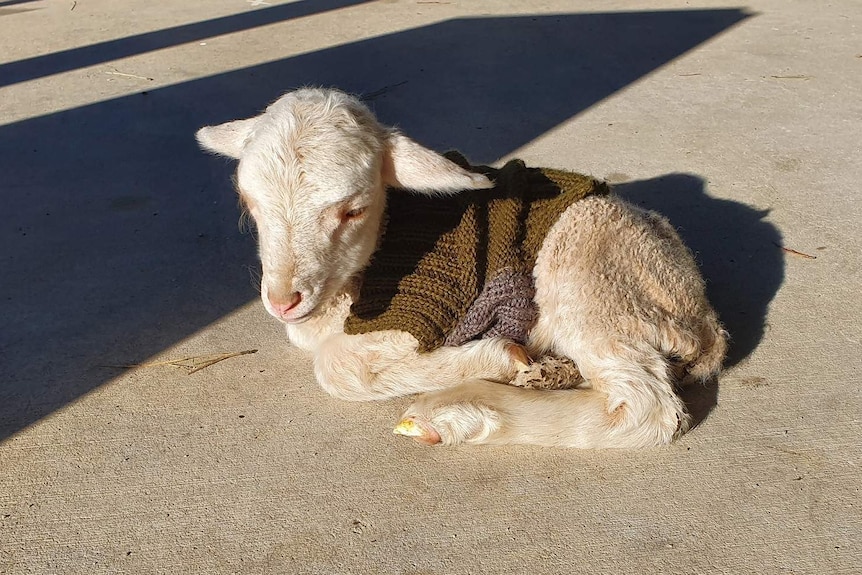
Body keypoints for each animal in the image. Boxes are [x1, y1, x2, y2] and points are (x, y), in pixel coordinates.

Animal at [197, 86, 728, 450]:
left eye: (353, 210)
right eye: (248, 201)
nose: (283, 301)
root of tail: (702, 317)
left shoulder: (426, 318)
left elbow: (337, 366)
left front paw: (497, 357)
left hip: (590, 278)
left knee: (644, 407)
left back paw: (457, 412)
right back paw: (546, 374)